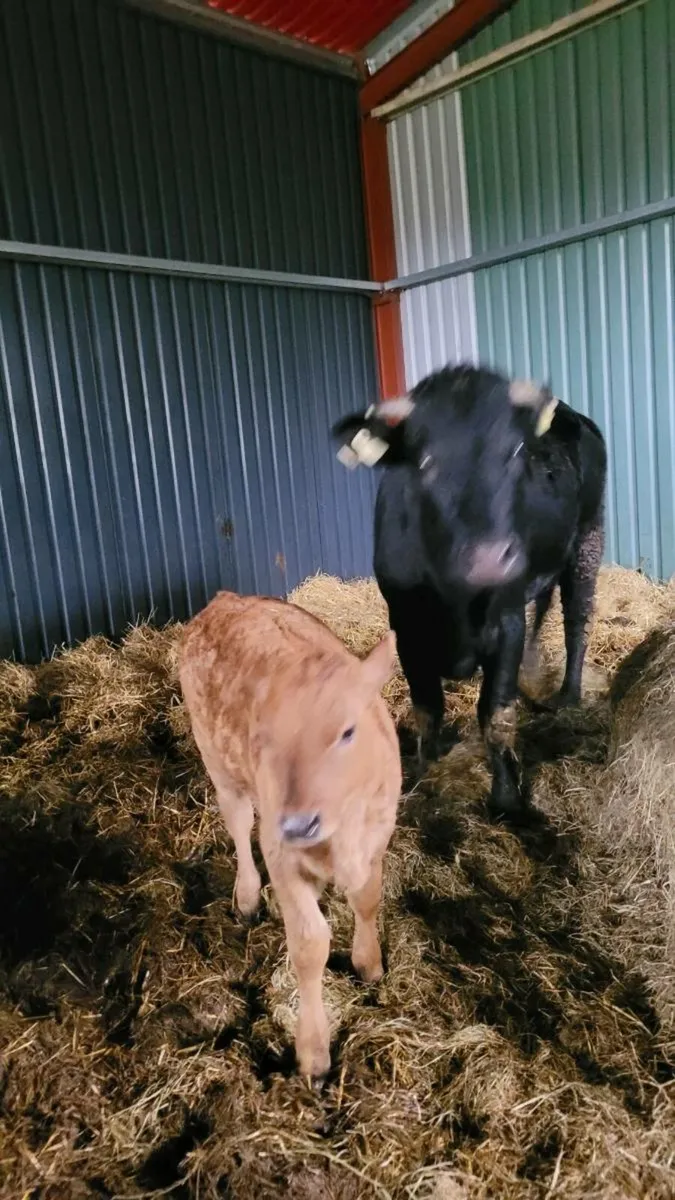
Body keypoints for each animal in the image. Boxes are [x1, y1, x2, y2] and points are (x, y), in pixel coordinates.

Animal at [178, 591, 401, 1081]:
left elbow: (367, 900)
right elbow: (310, 945)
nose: (298, 824)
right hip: (219, 766)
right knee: (239, 825)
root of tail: (226, 599)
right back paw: (247, 897)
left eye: (348, 731)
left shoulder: (378, 836)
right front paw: (313, 1054)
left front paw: (370, 965)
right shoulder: (281, 854)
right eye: (264, 739)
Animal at [332, 364, 607, 819]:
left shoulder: (507, 622)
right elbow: (428, 708)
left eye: (515, 452)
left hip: (588, 538)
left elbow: (495, 715)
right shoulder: (406, 627)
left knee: (576, 620)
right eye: (424, 461)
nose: (490, 558)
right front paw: (425, 775)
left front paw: (507, 798)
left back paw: (568, 693)